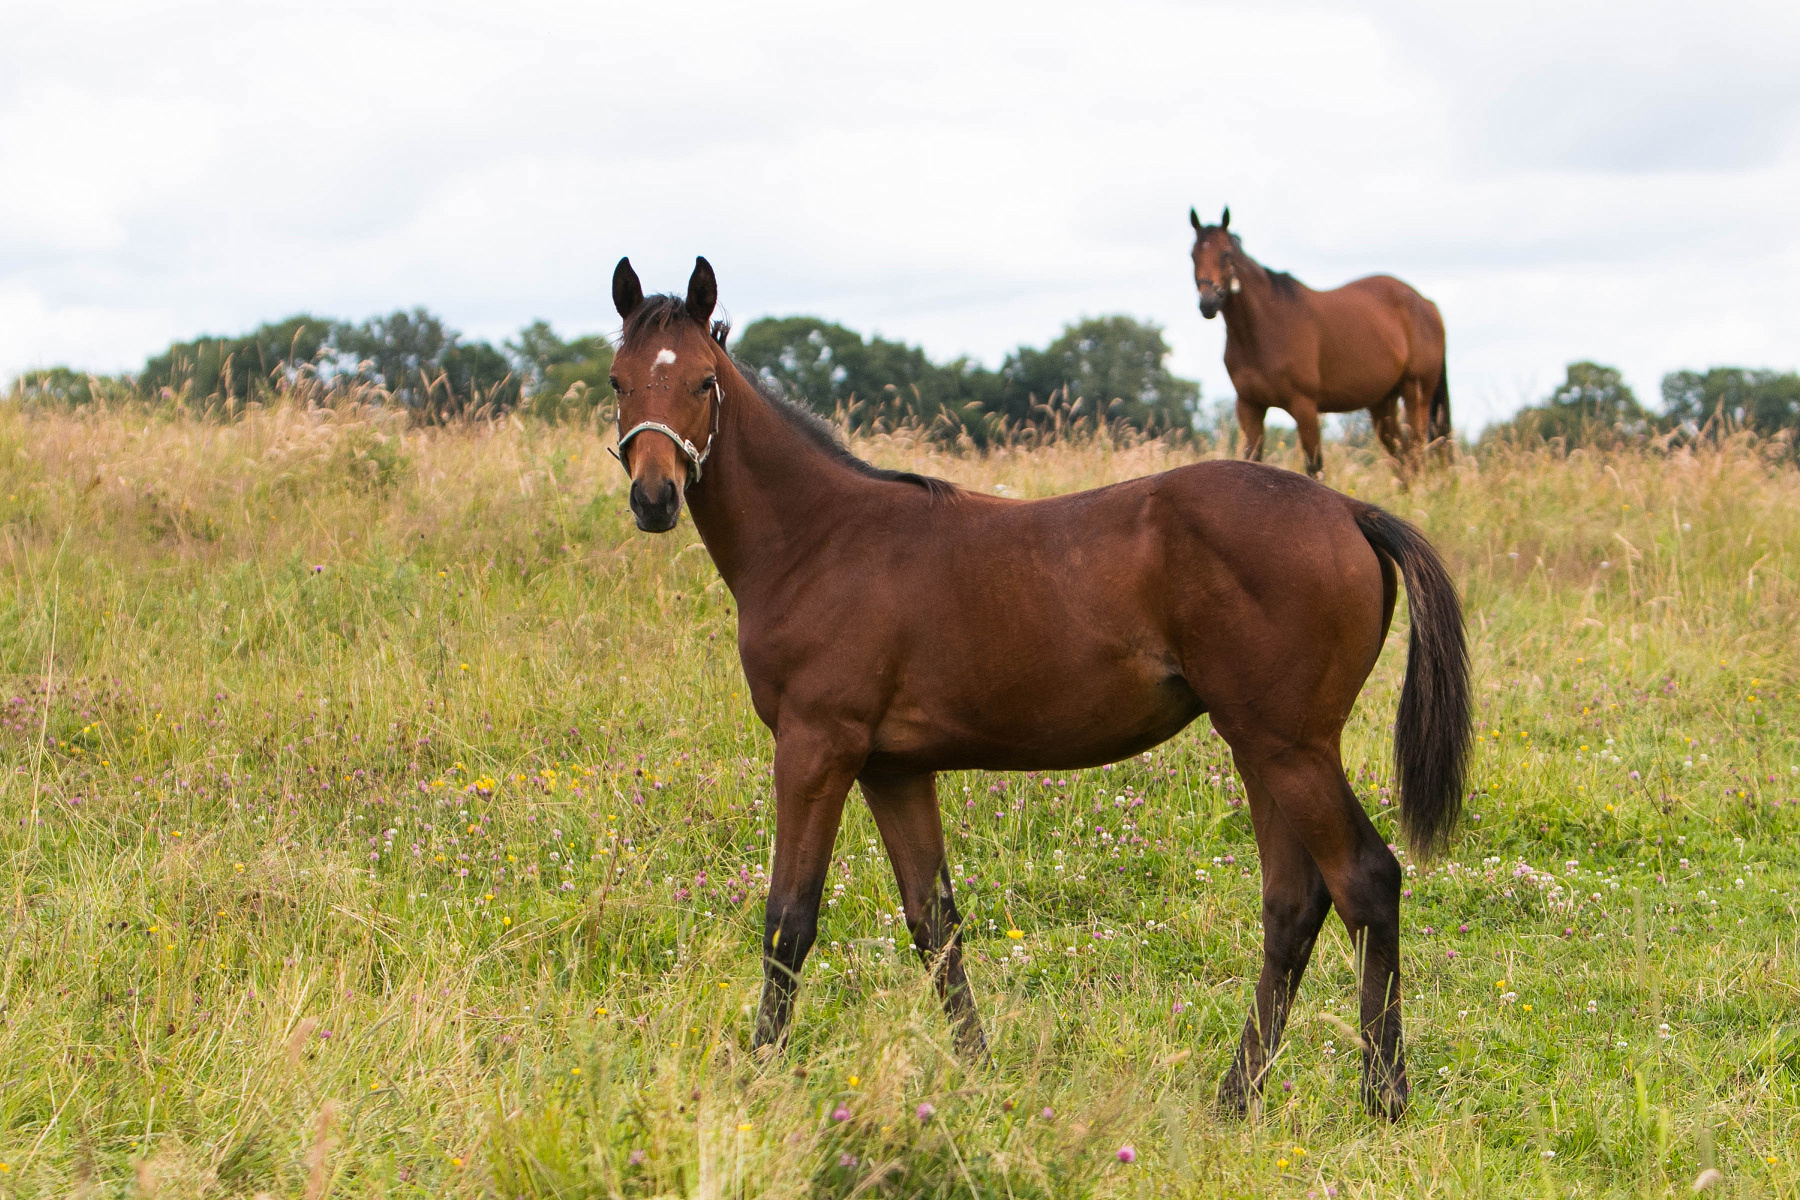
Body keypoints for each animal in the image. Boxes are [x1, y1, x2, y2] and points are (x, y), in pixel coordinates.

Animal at [612, 255, 1468, 1129]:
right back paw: (1236, 1095)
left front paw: (759, 1074)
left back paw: (1382, 1094)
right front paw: (978, 1075)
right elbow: (935, 923)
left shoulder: (816, 748)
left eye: (705, 382)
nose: (655, 497)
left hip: (1289, 747)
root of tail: (1350, 511)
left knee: (1365, 881)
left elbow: (788, 920)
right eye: (619, 382)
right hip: (1263, 750)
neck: (819, 540)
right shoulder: (894, 769)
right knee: (1293, 905)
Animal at [1188, 208, 1454, 482]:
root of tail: (1427, 304)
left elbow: (1314, 468)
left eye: (1226, 254)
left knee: (1416, 455)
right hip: (1383, 403)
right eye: (1193, 255)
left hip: (1416, 395)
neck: (1265, 328)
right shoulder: (1249, 407)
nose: (1208, 303)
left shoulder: (1304, 406)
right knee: (1402, 460)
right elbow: (1251, 460)